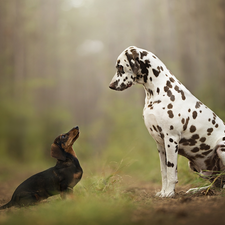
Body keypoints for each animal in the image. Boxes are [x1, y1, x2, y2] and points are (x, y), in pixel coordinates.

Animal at [109, 46, 225, 197]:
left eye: (120, 67)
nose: (111, 85)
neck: (159, 90)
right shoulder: (160, 144)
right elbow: (164, 172)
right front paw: (163, 192)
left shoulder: (171, 139)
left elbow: (170, 172)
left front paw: (169, 193)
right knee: (217, 184)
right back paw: (198, 190)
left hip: (221, 147)